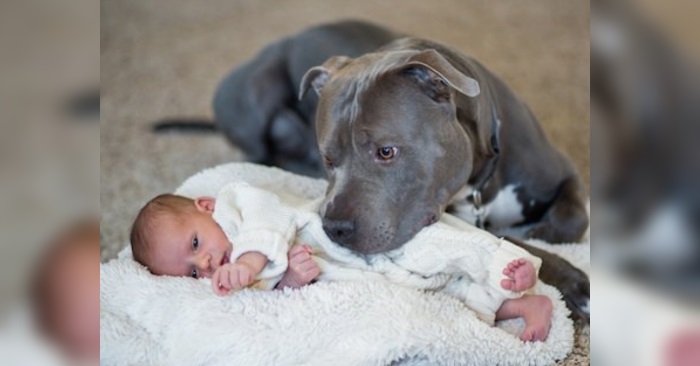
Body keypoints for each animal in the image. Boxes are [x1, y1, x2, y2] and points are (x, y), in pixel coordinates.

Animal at [156, 20, 588, 320]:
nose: (334, 229)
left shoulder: (564, 171)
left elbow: (573, 218)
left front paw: (543, 234)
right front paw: (568, 276)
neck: (482, 178)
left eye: (386, 151)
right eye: (329, 159)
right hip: (252, 93)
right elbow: (515, 245)